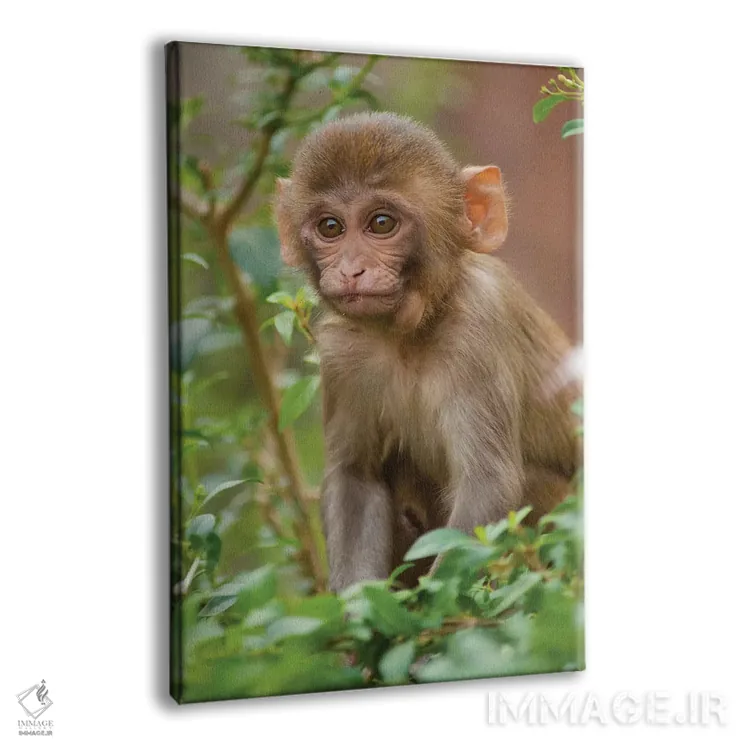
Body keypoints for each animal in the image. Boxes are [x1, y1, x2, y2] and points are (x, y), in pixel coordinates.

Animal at [274, 112, 580, 591]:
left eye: (382, 223)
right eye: (330, 228)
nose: (351, 270)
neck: (409, 334)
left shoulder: (478, 326)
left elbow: (488, 486)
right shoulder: (341, 351)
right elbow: (355, 477)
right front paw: (359, 609)